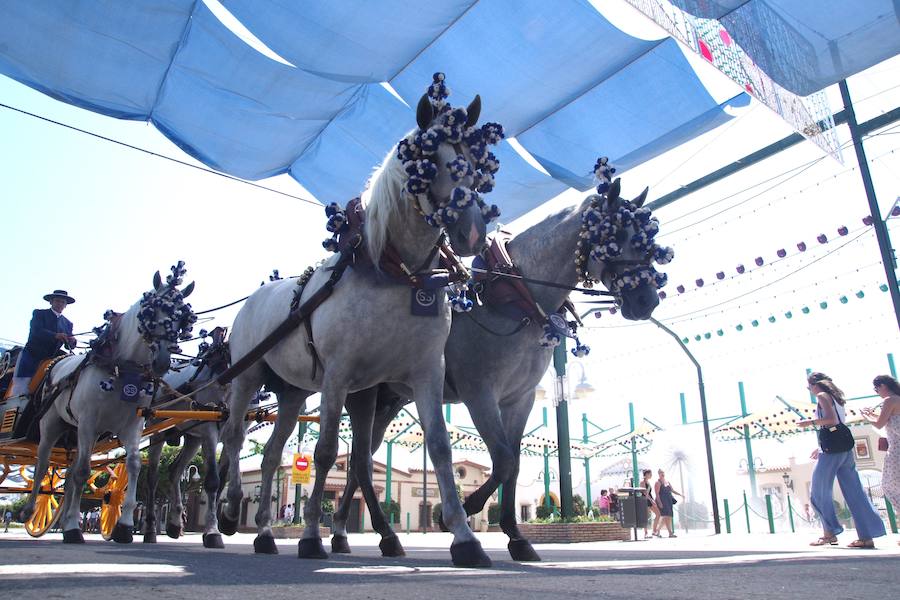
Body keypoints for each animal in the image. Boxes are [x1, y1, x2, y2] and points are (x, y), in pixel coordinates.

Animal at [21, 262, 197, 544]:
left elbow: (133, 465)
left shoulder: (132, 425)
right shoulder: (88, 421)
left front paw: (123, 526)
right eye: (151, 311)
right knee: (43, 463)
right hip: (52, 425)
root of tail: (58, 362)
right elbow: (82, 472)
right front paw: (73, 529)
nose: (161, 362)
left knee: (69, 474)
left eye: (181, 319)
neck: (121, 367)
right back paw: (31, 510)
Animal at [215, 75, 502, 568]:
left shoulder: (418, 374)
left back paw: (266, 533)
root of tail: (256, 297)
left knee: (271, 456)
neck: (397, 275)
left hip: (291, 393)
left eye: (474, 159)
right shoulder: (338, 375)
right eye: (430, 159)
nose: (471, 233)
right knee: (234, 439)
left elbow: (438, 448)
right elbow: (326, 451)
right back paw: (232, 508)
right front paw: (312, 534)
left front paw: (464, 536)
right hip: (248, 376)